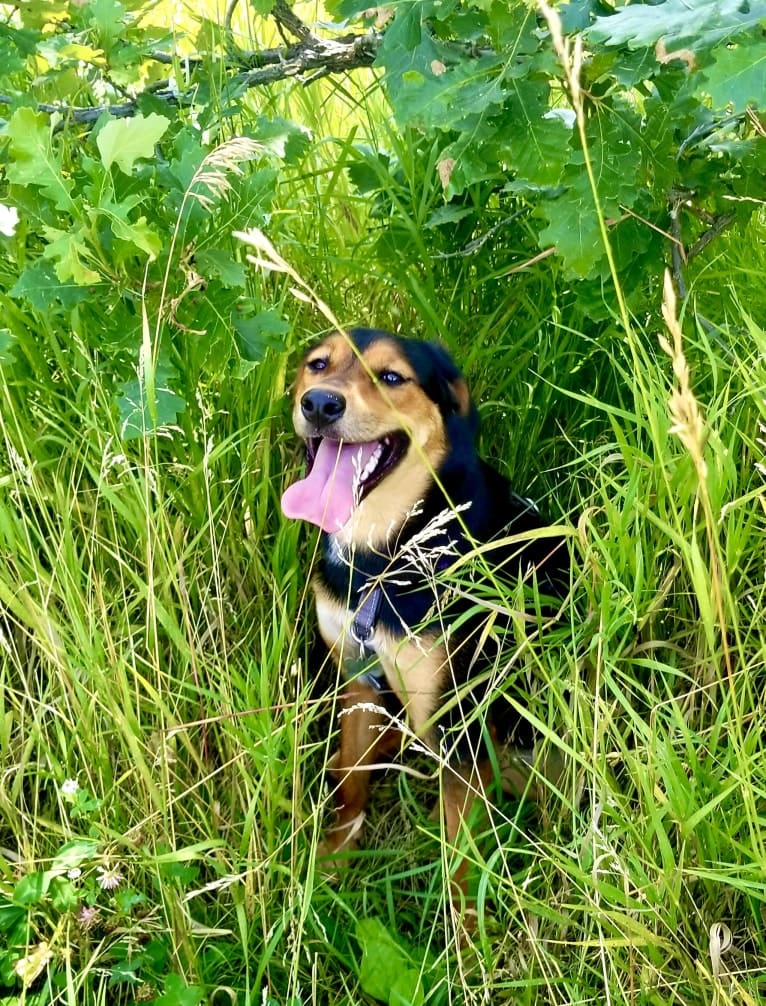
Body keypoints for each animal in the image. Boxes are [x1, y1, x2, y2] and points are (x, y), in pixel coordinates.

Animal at [281, 325, 567, 893]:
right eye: (318, 365)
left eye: (393, 377)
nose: (320, 403)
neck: (383, 555)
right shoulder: (360, 680)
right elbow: (352, 786)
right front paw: (334, 860)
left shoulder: (462, 723)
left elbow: (460, 861)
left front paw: (463, 918)